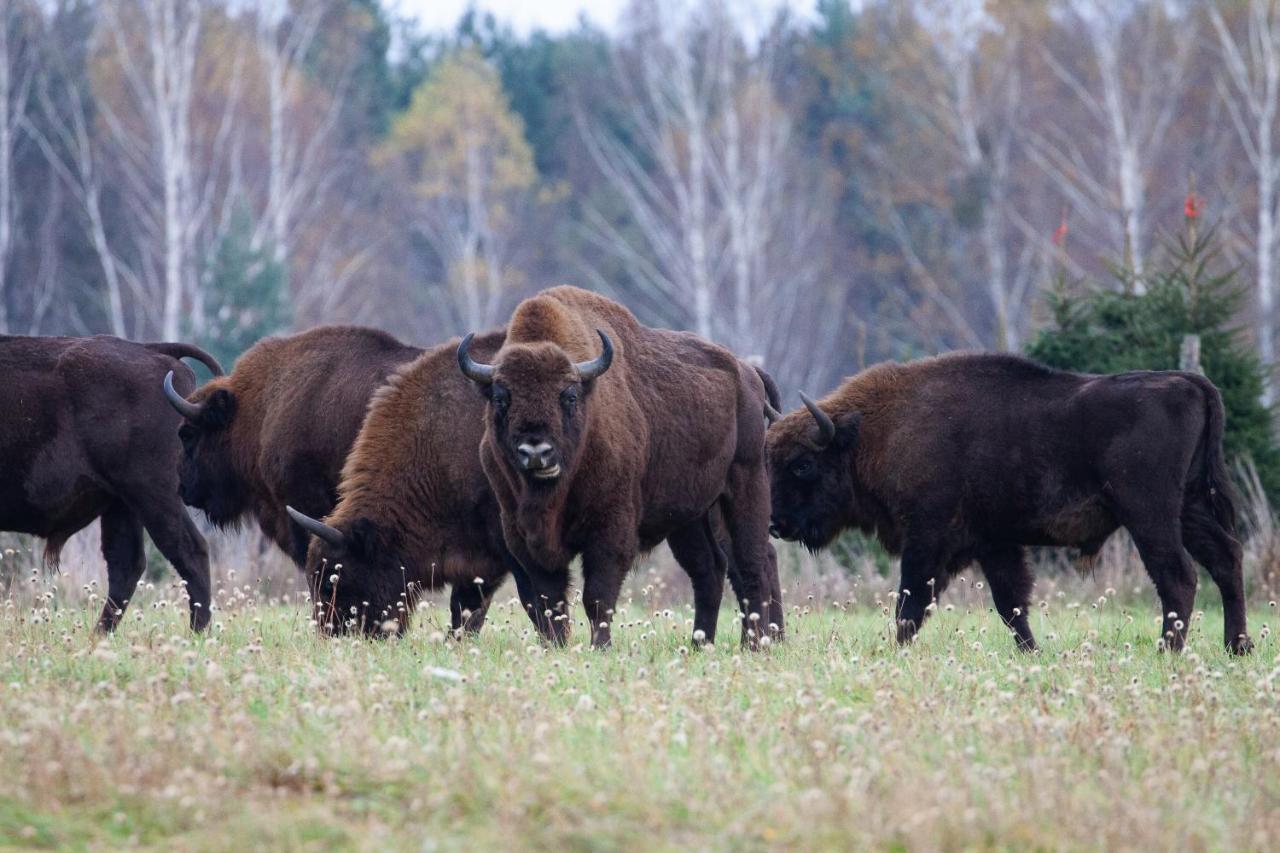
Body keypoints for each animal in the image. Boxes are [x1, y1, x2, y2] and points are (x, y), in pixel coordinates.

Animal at [0, 335, 224, 627]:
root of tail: (151, 348)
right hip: (121, 502)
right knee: (126, 565)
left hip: (152, 493)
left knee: (189, 551)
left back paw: (198, 631)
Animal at [460, 285, 778, 645]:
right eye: (501, 397)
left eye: (568, 396)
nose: (537, 451)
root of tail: (748, 374)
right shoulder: (523, 536)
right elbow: (549, 602)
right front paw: (556, 646)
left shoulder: (610, 529)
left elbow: (597, 596)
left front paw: (600, 647)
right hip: (690, 516)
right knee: (708, 570)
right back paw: (700, 644)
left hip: (746, 484)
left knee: (752, 564)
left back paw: (755, 645)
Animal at [762, 350, 1254, 650]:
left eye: (802, 465)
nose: (775, 523)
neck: (872, 432)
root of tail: (1190, 383)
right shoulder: (993, 543)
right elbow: (1011, 603)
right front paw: (1033, 653)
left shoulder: (927, 538)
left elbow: (911, 602)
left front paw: (893, 649)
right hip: (1190, 507)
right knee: (1226, 559)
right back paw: (1237, 647)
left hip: (1149, 514)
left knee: (1179, 575)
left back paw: (1167, 651)